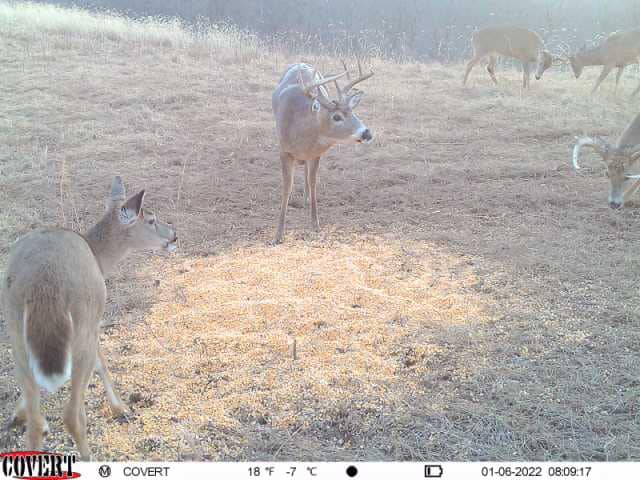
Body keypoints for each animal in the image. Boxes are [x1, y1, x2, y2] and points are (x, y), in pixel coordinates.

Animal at [1, 176, 177, 460]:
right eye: (151, 219)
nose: (173, 235)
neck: (99, 256)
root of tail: (44, 286)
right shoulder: (96, 321)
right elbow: (102, 362)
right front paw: (121, 407)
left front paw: (17, 414)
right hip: (81, 326)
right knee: (73, 415)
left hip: (15, 332)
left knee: (36, 424)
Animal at [271, 61, 374, 244]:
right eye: (337, 116)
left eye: (353, 112)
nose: (367, 133)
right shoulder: (284, 150)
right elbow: (287, 187)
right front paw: (278, 235)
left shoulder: (316, 154)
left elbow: (313, 183)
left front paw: (315, 224)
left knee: (306, 172)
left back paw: (305, 200)